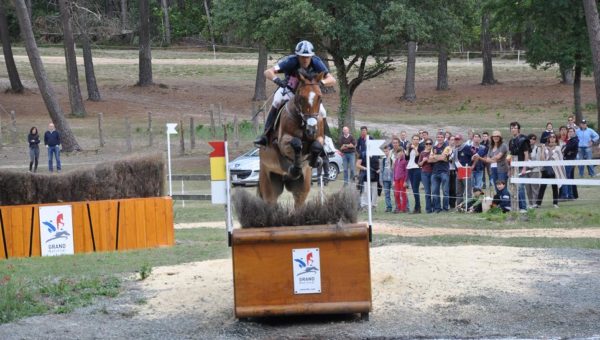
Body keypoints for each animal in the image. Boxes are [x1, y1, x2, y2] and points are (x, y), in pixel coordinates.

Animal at [256, 70, 326, 206]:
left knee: (299, 202)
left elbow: (317, 145)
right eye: (302, 98)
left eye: (320, 98)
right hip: (268, 181)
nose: (311, 129)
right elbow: (296, 143)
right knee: (270, 200)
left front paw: (315, 161)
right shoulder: (282, 142)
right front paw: (295, 166)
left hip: (302, 187)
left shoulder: (319, 137)